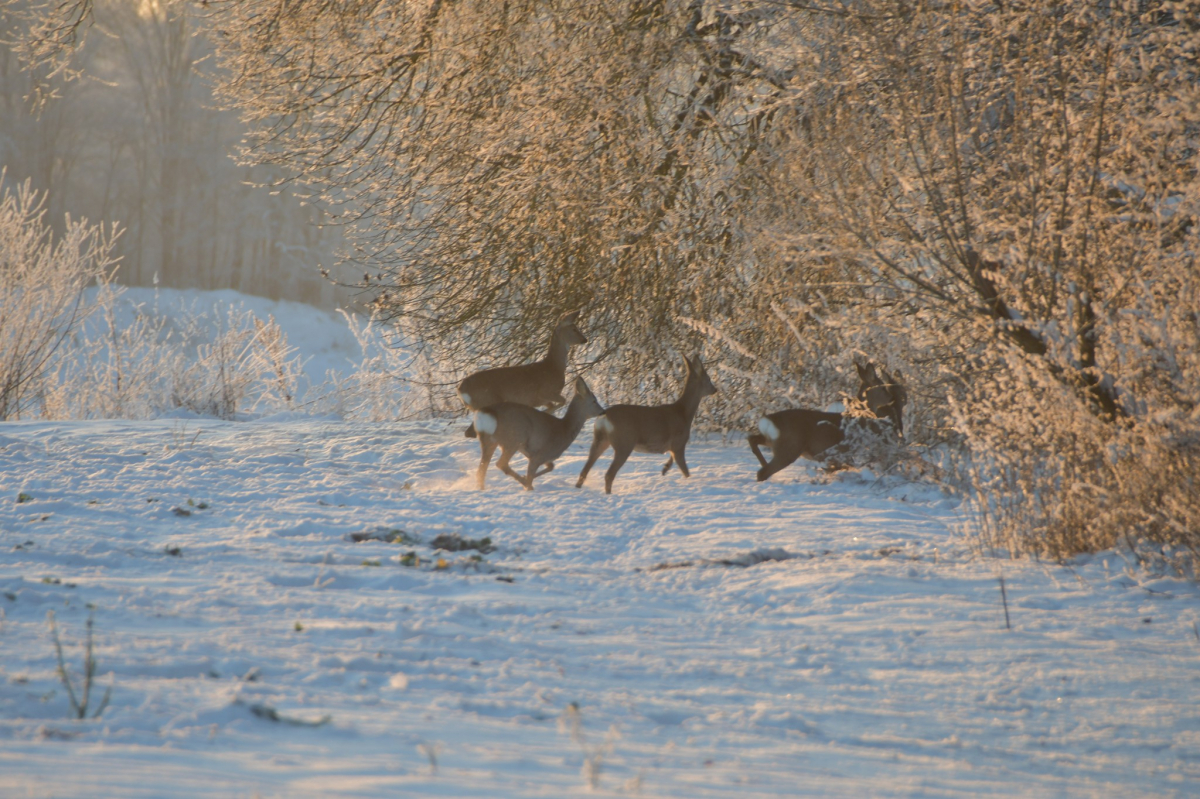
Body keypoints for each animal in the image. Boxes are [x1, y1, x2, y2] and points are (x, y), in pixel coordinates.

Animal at [456, 309, 588, 436]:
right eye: (574, 329)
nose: (584, 339)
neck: (553, 367)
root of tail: (461, 390)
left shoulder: (540, 400)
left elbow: (553, 405)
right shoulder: (545, 392)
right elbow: (562, 401)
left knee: (470, 431)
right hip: (487, 401)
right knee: (473, 431)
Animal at [472, 374, 604, 491]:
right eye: (594, 400)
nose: (603, 411)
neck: (564, 430)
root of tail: (486, 412)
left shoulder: (536, 455)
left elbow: (551, 467)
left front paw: (525, 479)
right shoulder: (540, 454)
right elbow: (532, 474)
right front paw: (527, 483)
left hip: (488, 440)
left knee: (481, 469)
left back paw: (481, 488)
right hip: (514, 438)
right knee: (500, 463)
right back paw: (526, 485)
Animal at [573, 352, 715, 491]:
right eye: (708, 378)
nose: (715, 389)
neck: (683, 413)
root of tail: (604, 417)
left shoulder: (673, 446)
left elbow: (672, 460)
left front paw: (664, 469)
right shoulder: (679, 443)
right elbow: (685, 471)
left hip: (600, 439)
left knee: (585, 470)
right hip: (624, 442)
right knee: (609, 474)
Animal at [748, 359, 907, 479]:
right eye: (883, 388)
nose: (894, 399)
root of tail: (768, 421)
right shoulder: (844, 452)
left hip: (774, 442)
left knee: (752, 439)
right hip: (789, 448)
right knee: (762, 472)